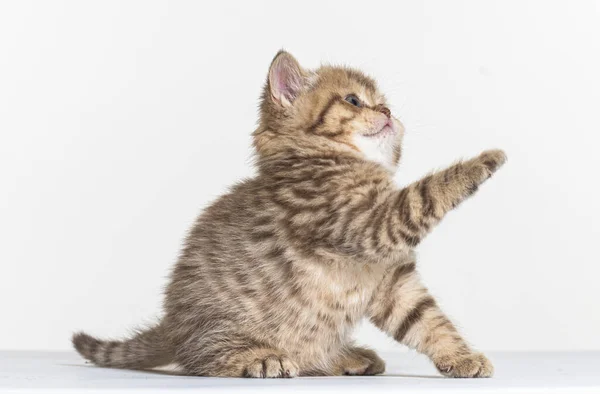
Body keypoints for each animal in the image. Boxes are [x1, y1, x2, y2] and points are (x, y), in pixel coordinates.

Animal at [74, 50, 506, 378]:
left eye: (385, 102)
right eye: (354, 101)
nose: (386, 111)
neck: (327, 160)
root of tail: (172, 327)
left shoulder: (391, 278)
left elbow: (427, 320)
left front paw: (460, 357)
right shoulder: (368, 224)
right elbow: (426, 192)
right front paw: (484, 160)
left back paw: (348, 356)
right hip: (218, 330)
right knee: (201, 358)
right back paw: (259, 357)